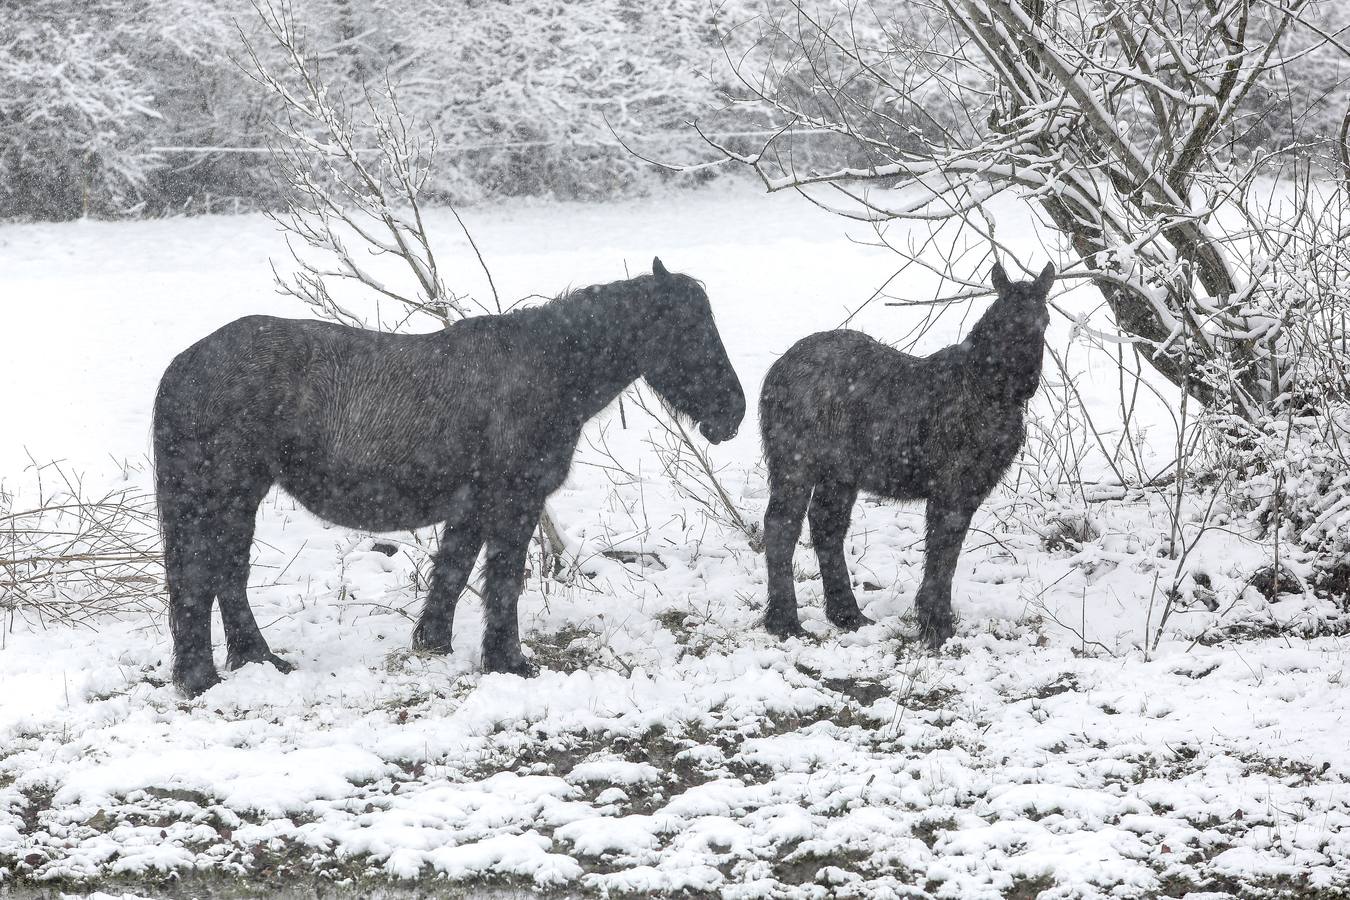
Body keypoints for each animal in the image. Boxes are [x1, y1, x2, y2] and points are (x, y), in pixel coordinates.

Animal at [157, 260, 750, 696]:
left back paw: (256, 659)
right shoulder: (513, 502)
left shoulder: (472, 506)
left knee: (226, 576)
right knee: (199, 578)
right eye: (690, 330)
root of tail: (183, 367)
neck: (550, 366)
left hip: (238, 500)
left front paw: (433, 645)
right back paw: (201, 678)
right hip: (221, 496)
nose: (733, 413)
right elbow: (503, 582)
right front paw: (508, 661)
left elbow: (453, 570)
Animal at [761, 260, 1053, 647]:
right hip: (795, 465)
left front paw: (934, 621)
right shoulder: (952, 487)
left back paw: (847, 614)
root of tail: (774, 372)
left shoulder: (969, 489)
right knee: (782, 526)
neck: (984, 388)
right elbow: (942, 552)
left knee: (827, 526)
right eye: (1003, 320)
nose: (1025, 383)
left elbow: (947, 554)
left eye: (1044, 321)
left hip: (839, 475)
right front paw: (936, 625)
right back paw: (784, 622)